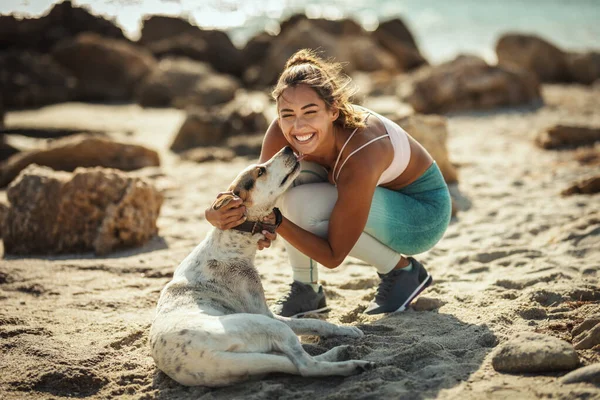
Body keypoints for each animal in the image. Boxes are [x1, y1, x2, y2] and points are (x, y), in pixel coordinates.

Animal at [149, 145, 372, 386]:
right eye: (260, 172)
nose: (288, 148)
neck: (230, 246)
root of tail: (200, 360)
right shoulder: (266, 313)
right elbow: (313, 323)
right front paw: (347, 331)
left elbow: (316, 323)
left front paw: (346, 332)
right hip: (267, 326)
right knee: (306, 366)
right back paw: (352, 364)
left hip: (255, 359)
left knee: (291, 363)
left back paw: (341, 353)